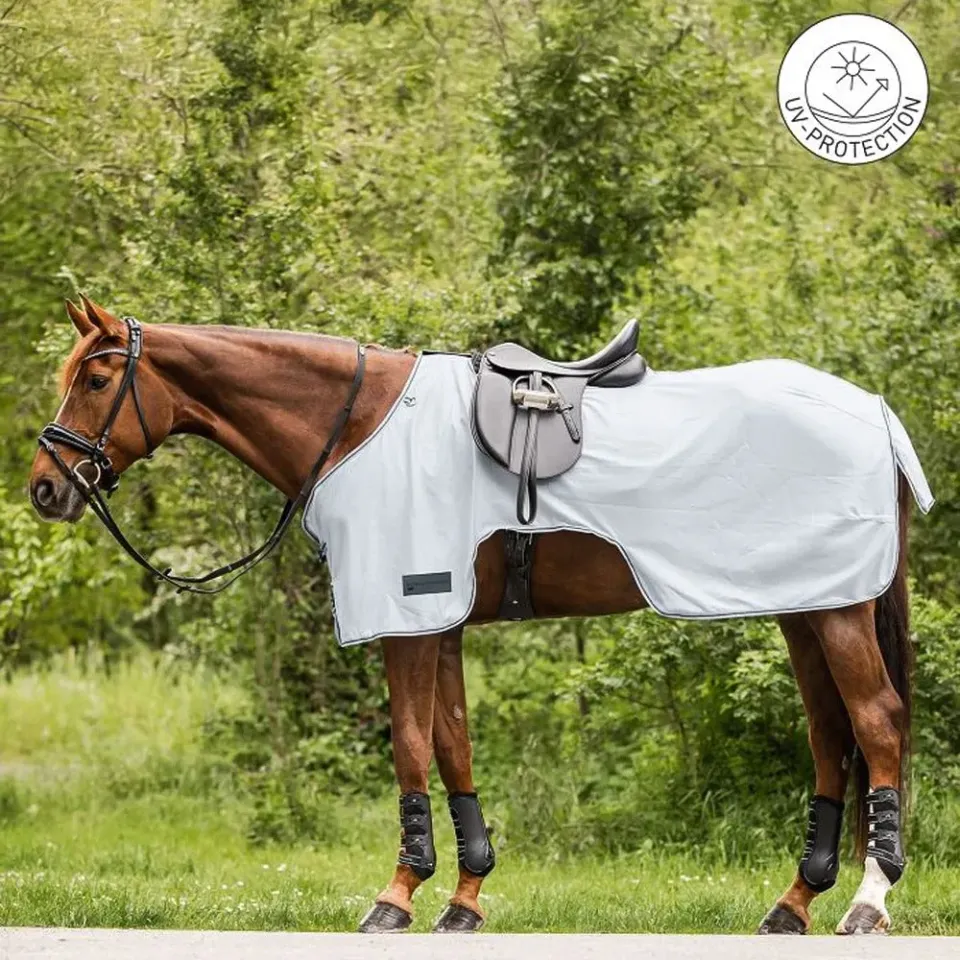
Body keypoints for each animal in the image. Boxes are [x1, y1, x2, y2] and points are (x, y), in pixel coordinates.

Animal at [30, 296, 919, 936]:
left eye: (97, 381)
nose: (45, 487)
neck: (358, 426)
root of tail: (877, 412)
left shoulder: (405, 617)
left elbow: (409, 747)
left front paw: (396, 896)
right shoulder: (440, 622)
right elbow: (453, 744)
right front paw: (465, 898)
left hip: (838, 611)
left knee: (876, 723)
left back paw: (867, 904)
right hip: (805, 610)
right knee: (830, 734)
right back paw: (793, 904)